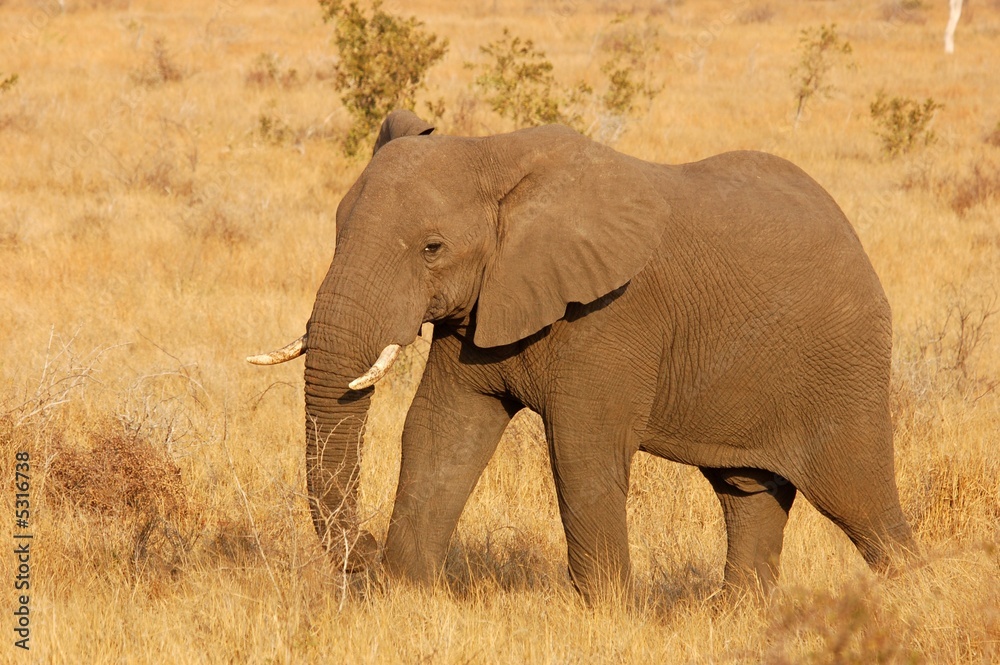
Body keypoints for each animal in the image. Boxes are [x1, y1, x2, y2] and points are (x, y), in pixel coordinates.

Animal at [249, 110, 914, 600]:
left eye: (432, 248)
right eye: (338, 229)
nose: (361, 551)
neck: (495, 155)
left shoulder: (612, 315)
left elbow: (581, 451)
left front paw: (611, 614)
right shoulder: (485, 305)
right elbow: (440, 432)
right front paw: (405, 597)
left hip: (843, 366)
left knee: (863, 502)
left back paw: (916, 600)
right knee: (748, 496)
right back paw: (740, 616)